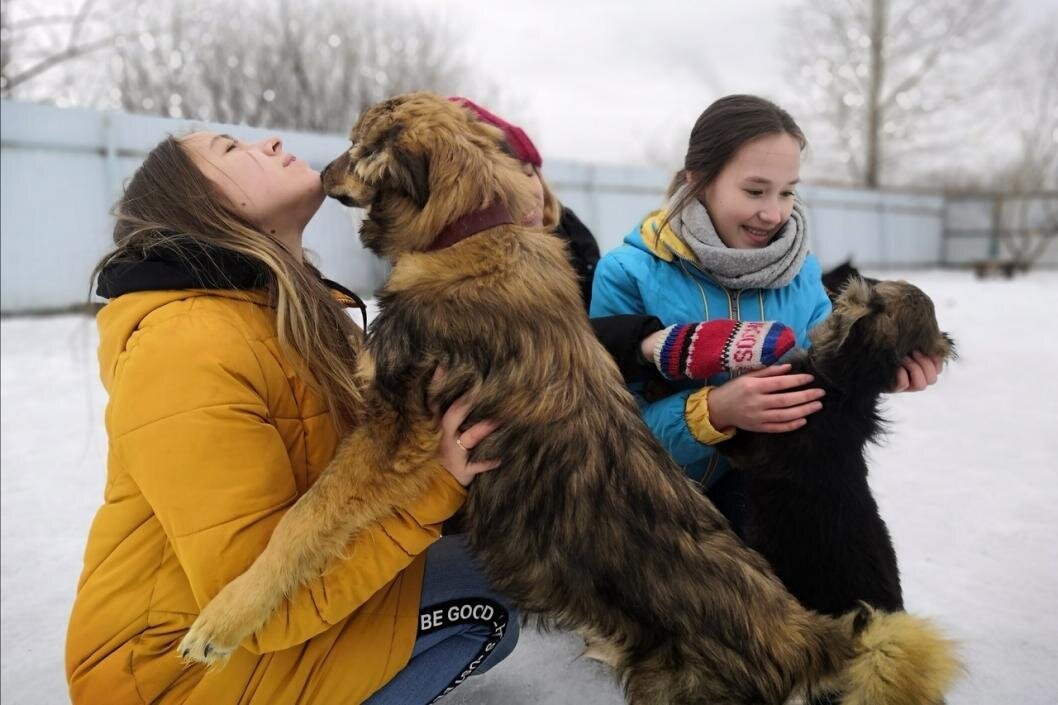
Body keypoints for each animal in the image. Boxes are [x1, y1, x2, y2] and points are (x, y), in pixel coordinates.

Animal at [177, 93, 956, 702]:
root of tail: (805, 632)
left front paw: (223, 620)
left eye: (358, 145)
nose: (315, 170)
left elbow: (303, 521)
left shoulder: (395, 429)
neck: (469, 231)